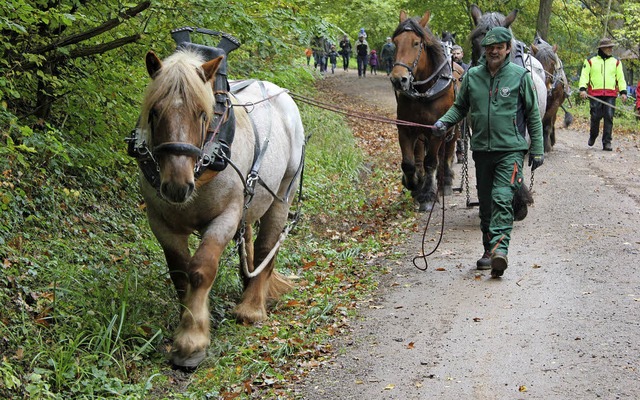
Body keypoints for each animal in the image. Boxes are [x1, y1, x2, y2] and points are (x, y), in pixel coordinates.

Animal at [132, 49, 304, 366]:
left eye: (203, 113)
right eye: (154, 112)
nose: (177, 185)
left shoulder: (225, 217)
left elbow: (200, 270)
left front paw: (192, 341)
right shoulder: (161, 223)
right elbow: (180, 275)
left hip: (282, 195)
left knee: (267, 246)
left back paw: (252, 307)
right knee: (248, 243)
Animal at [388, 9, 462, 211]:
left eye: (416, 43)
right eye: (395, 42)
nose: (398, 79)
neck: (424, 91)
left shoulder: (436, 130)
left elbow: (431, 162)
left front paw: (428, 195)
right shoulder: (406, 128)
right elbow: (408, 163)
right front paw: (412, 183)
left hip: (453, 129)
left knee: (446, 152)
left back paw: (445, 182)